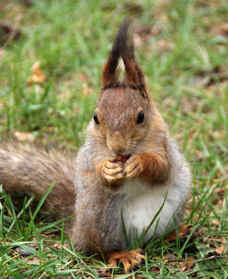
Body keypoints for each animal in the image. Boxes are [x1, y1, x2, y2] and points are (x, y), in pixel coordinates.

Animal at [0, 20, 191, 274]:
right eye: (95, 117)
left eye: (141, 116)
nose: (118, 148)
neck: (129, 151)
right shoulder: (93, 152)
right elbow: (98, 169)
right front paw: (107, 171)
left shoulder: (162, 144)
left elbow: (162, 169)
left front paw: (140, 163)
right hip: (101, 217)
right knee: (97, 250)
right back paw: (121, 255)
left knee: (155, 237)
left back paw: (175, 234)